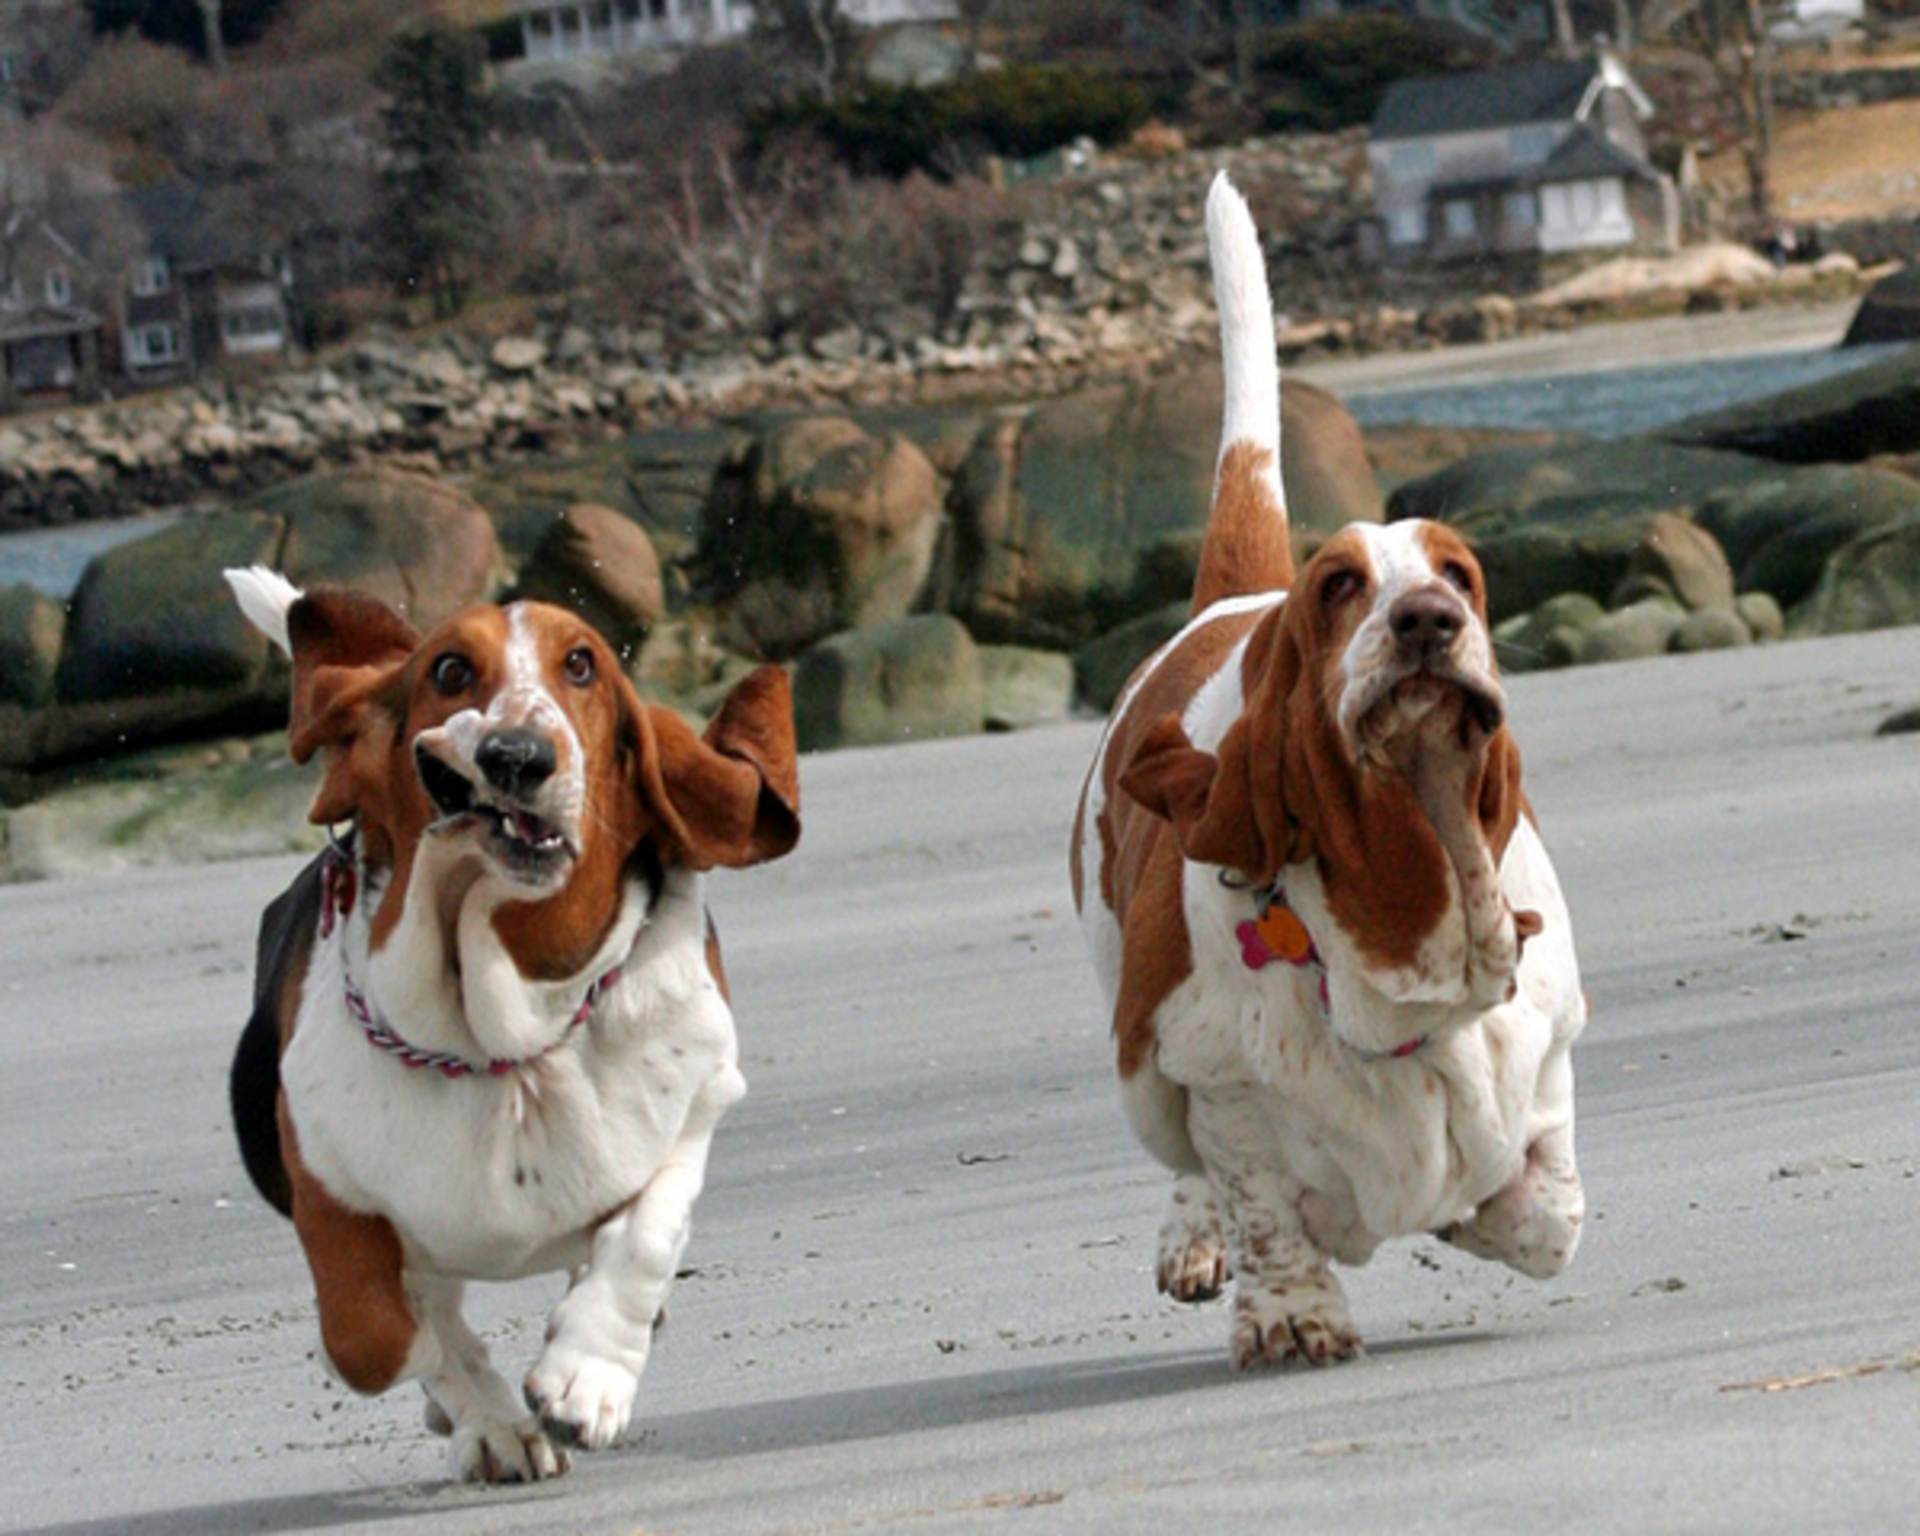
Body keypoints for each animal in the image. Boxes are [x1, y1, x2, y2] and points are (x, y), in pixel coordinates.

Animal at [228, 568, 798, 1482]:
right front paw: (491, 1414)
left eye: (582, 664)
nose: (517, 754)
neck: (505, 1044)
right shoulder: (327, 1183)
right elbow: (381, 1335)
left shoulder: (701, 1102)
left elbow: (645, 1238)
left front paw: (585, 1384)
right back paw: (488, 1425)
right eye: (451, 670)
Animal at [1067, 176, 1589, 1367]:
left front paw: (1474, 1211)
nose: (1428, 620)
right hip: (1127, 995)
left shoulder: (1545, 1063)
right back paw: (1194, 1245)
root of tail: (1238, 597)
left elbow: (1543, 1212)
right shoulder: (1209, 1073)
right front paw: (1292, 1318)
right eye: (1342, 586)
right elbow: (1258, 1198)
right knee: (1187, 1166)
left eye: (1461, 573)